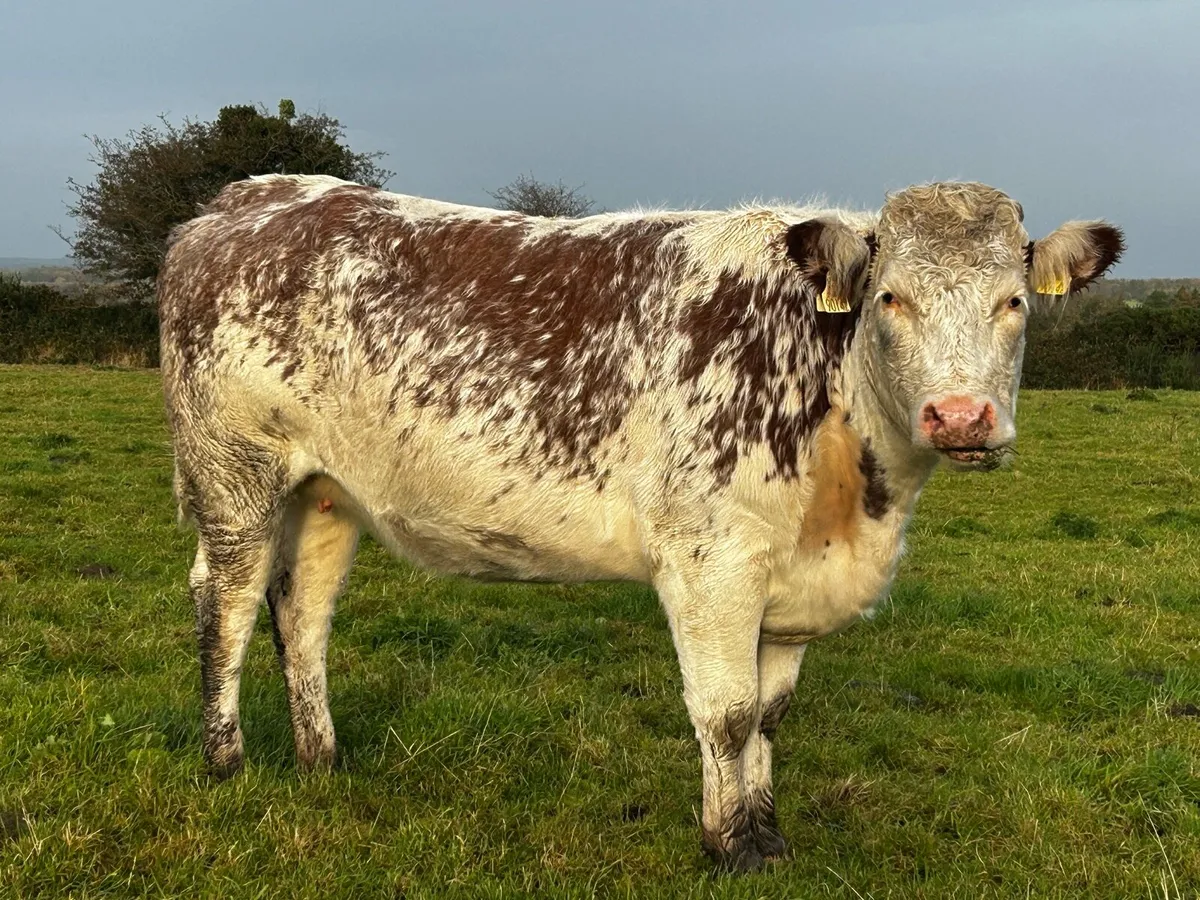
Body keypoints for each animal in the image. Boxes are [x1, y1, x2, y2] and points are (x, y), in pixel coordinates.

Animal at [157, 175, 1123, 872]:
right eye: (891, 298)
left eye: (1013, 301)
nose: (960, 418)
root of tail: (251, 196)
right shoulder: (712, 559)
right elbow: (728, 713)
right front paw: (729, 848)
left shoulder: (789, 579)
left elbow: (771, 716)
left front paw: (766, 834)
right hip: (234, 475)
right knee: (226, 604)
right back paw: (226, 761)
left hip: (328, 493)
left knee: (302, 613)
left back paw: (321, 760)